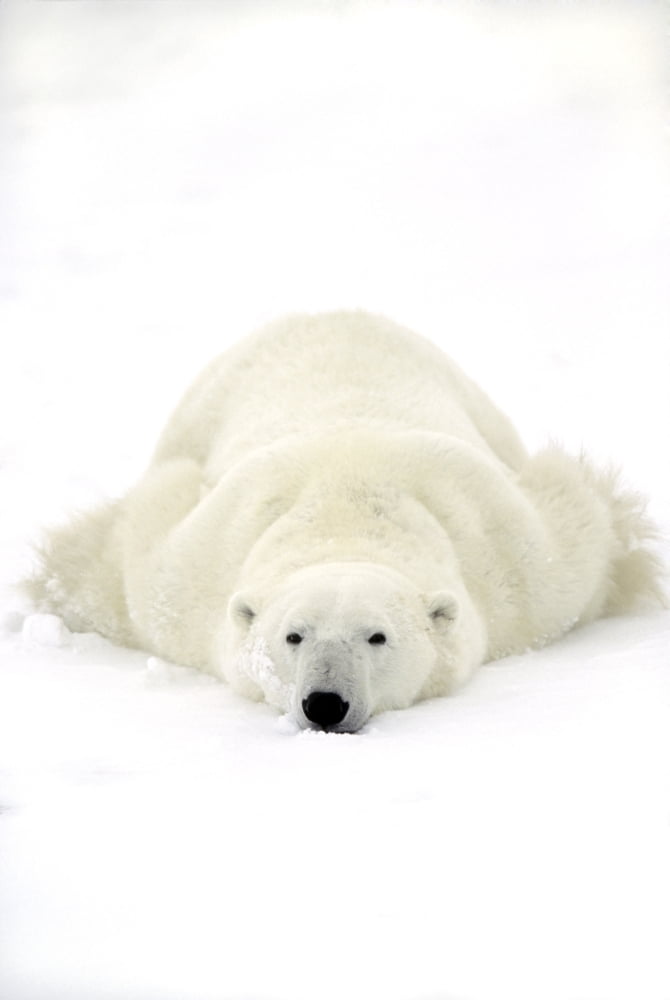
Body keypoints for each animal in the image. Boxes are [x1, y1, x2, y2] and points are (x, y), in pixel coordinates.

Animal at [27, 311, 664, 732]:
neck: (344, 516)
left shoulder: (520, 568)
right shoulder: (183, 578)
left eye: (376, 636)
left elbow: (581, 532)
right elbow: (124, 557)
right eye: (293, 635)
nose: (325, 703)